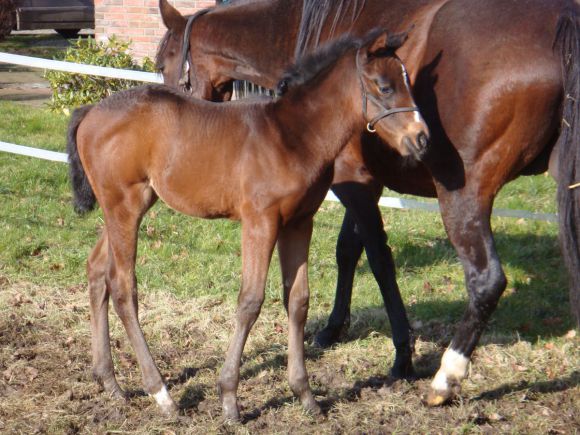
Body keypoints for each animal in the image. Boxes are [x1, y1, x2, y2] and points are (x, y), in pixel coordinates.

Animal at [68, 30, 428, 418]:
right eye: (385, 87)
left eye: (407, 82)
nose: (422, 138)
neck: (292, 136)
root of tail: (90, 112)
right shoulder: (260, 221)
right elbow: (250, 300)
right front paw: (229, 398)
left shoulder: (299, 223)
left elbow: (298, 301)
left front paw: (305, 395)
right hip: (125, 207)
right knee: (122, 287)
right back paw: (161, 393)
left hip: (125, 207)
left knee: (96, 269)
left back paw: (109, 382)